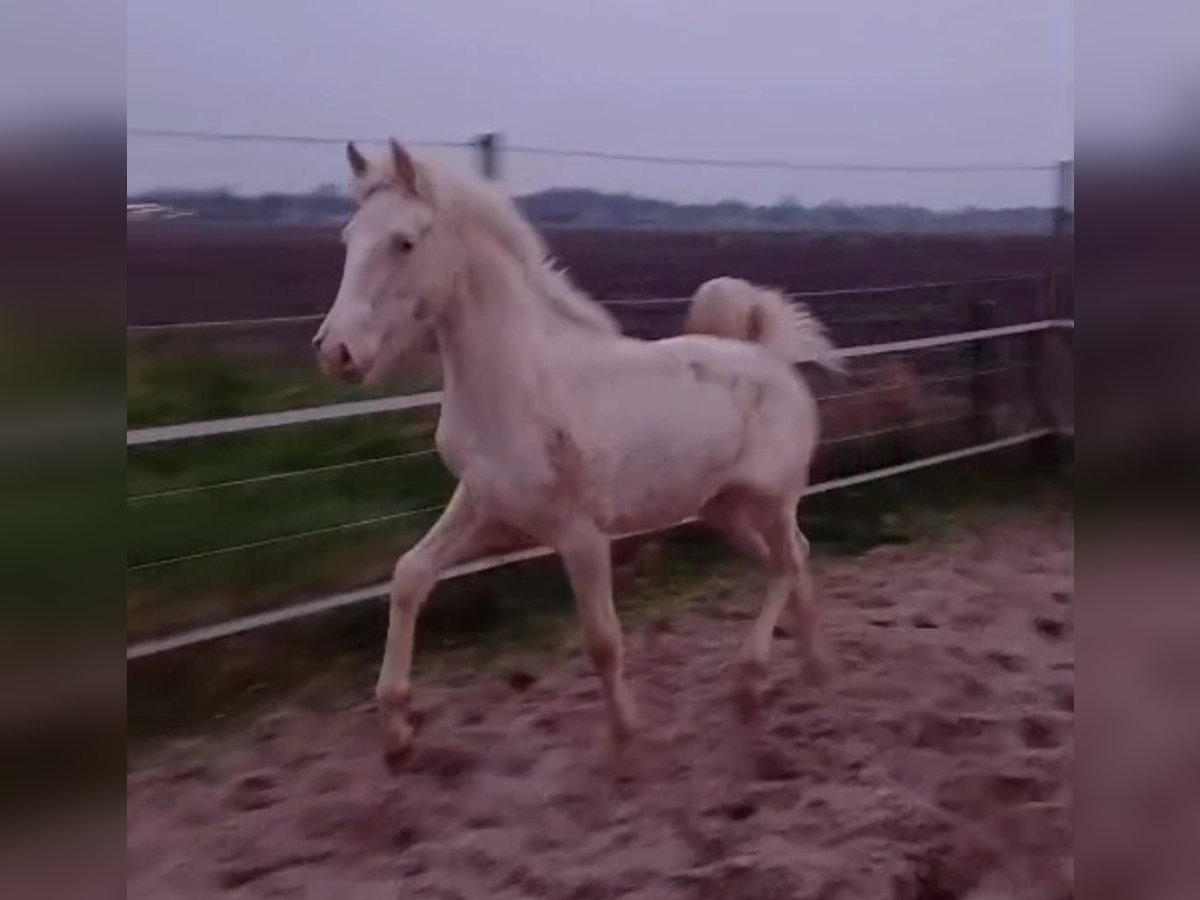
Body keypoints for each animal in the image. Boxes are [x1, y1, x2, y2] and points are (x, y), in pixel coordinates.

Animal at [314, 140, 843, 772]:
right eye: (348, 237)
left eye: (404, 242)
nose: (336, 352)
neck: (519, 386)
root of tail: (773, 359)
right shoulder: (482, 504)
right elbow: (409, 575)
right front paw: (396, 733)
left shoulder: (581, 533)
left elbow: (602, 641)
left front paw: (623, 744)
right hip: (724, 510)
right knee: (792, 559)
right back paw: (811, 667)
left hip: (772, 499)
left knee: (789, 560)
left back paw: (751, 678)